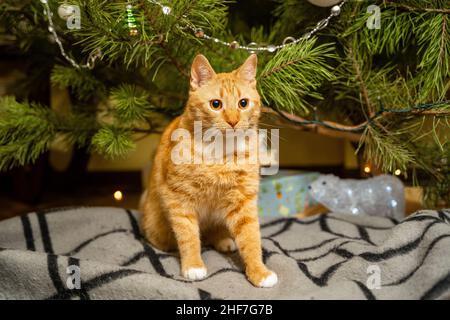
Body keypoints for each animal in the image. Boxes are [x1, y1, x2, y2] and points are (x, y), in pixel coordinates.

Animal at [141, 53, 276, 288]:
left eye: (243, 103)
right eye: (216, 104)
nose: (233, 121)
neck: (220, 154)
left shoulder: (243, 201)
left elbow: (251, 238)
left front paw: (259, 272)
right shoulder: (179, 200)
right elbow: (188, 236)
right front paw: (193, 265)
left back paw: (223, 240)